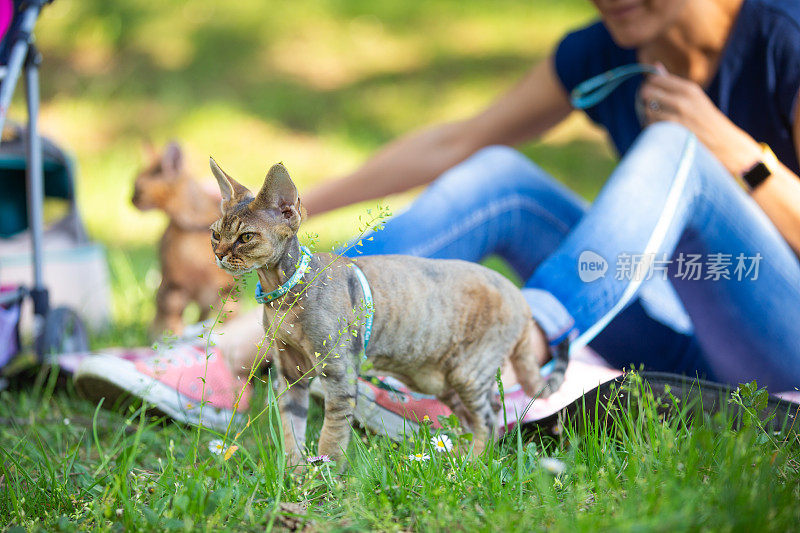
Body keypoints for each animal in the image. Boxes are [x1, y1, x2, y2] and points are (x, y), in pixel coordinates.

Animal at [131, 142, 236, 336]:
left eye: (137, 186)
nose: (130, 199)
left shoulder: (225, 291)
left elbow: (225, 318)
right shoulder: (174, 287)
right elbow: (174, 323)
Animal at [209, 160, 564, 464]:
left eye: (245, 237)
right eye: (216, 234)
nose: (219, 254)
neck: (283, 299)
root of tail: (521, 297)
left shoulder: (340, 374)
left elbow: (331, 436)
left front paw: (323, 476)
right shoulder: (290, 374)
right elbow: (290, 431)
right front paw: (296, 473)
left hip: (469, 370)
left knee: (489, 420)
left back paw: (469, 466)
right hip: (440, 380)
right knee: (479, 417)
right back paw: (455, 458)